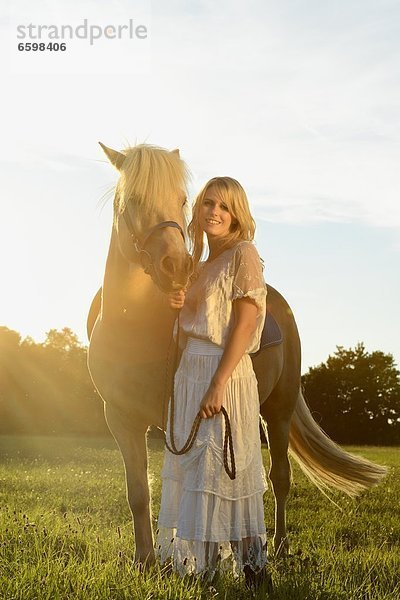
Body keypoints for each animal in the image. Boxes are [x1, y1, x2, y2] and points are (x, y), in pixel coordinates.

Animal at [86, 143, 384, 564]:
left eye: (181, 200)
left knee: (279, 478)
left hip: (277, 409)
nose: (177, 266)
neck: (137, 326)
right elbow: (139, 493)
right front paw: (145, 560)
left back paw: (277, 546)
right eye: (133, 201)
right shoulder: (122, 420)